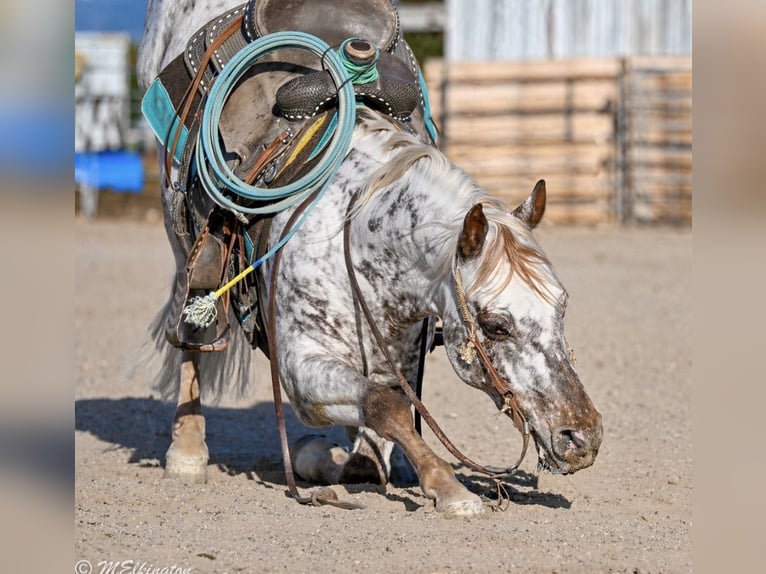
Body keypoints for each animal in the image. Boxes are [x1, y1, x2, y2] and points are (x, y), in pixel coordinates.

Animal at [137, 0, 602, 518]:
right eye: (496, 325)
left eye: (562, 307)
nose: (581, 437)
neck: (352, 234)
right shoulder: (300, 367)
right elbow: (384, 407)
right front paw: (450, 488)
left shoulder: (397, 360)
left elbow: (376, 437)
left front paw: (344, 460)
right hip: (181, 237)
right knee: (191, 324)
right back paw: (187, 452)